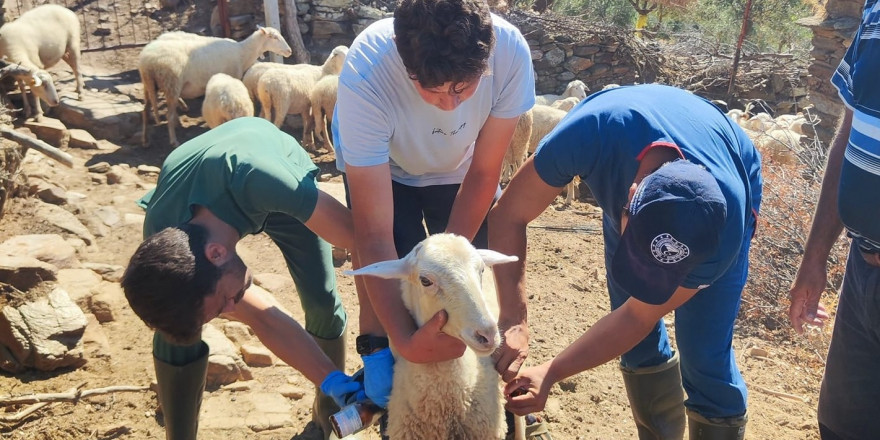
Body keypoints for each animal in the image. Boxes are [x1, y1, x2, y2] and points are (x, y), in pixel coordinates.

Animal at [136, 27, 290, 148]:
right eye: (274, 37)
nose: (289, 51)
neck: (242, 53)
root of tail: (146, 60)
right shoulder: (231, 77)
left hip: (149, 85)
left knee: (145, 110)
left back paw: (145, 140)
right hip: (171, 83)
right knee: (169, 114)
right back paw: (174, 140)